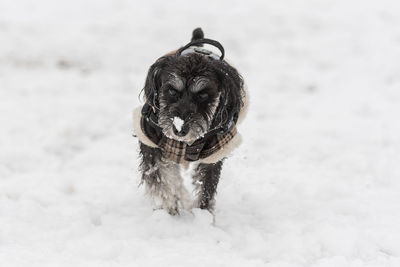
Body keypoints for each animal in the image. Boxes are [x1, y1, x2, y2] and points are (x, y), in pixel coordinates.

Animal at [134, 27, 247, 216]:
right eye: (172, 91)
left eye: (203, 94)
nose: (179, 130)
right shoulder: (150, 139)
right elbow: (161, 178)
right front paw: (171, 204)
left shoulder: (215, 153)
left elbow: (206, 188)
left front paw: (204, 215)